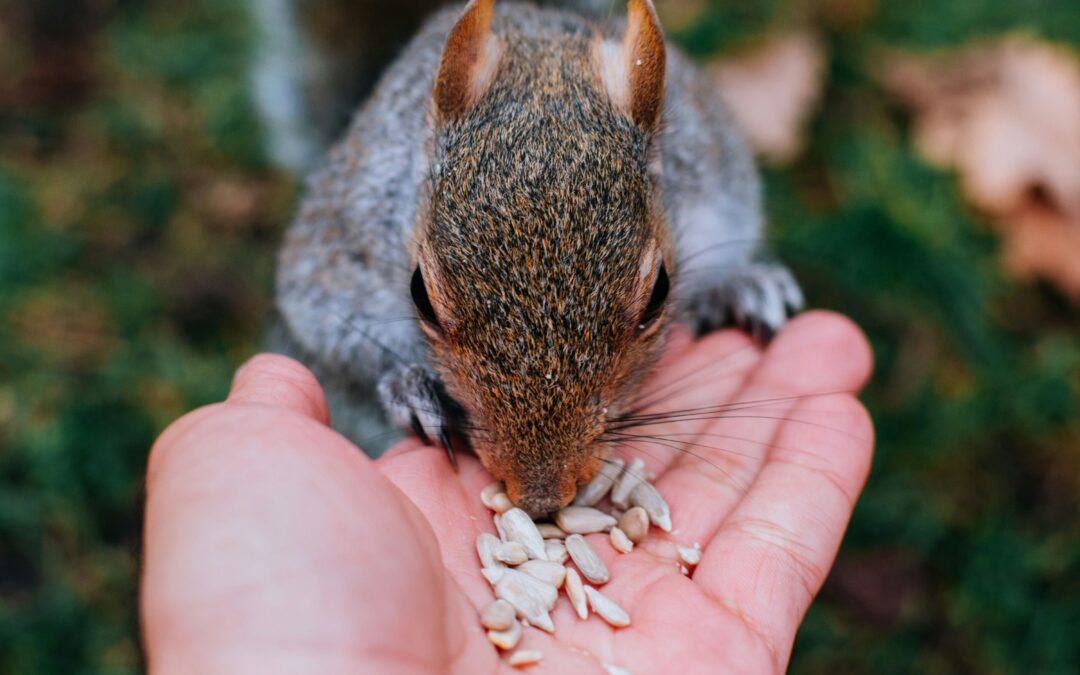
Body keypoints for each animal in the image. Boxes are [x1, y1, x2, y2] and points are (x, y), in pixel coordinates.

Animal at [274, 0, 803, 515]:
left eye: (660, 294)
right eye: (419, 293)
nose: (541, 497)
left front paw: (734, 287)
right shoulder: (338, 250)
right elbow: (334, 333)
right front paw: (410, 387)